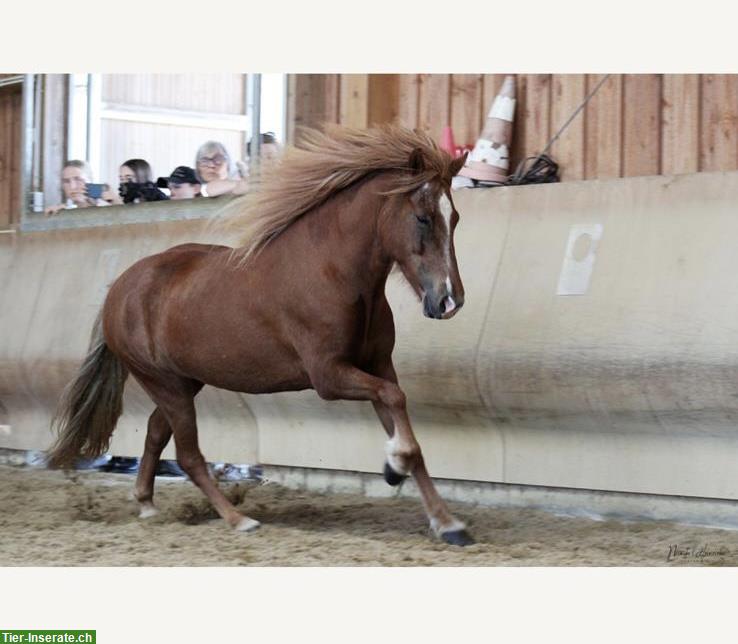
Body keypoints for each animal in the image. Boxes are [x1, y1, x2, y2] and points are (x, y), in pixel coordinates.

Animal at [47, 124, 472, 544]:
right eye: (422, 218)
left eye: (454, 218)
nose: (450, 301)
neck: (334, 274)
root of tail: (118, 289)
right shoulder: (329, 375)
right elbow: (396, 404)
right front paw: (394, 467)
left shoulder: (378, 365)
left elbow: (405, 423)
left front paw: (446, 522)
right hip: (165, 384)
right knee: (188, 455)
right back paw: (238, 519)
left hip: (183, 382)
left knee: (155, 432)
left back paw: (148, 505)